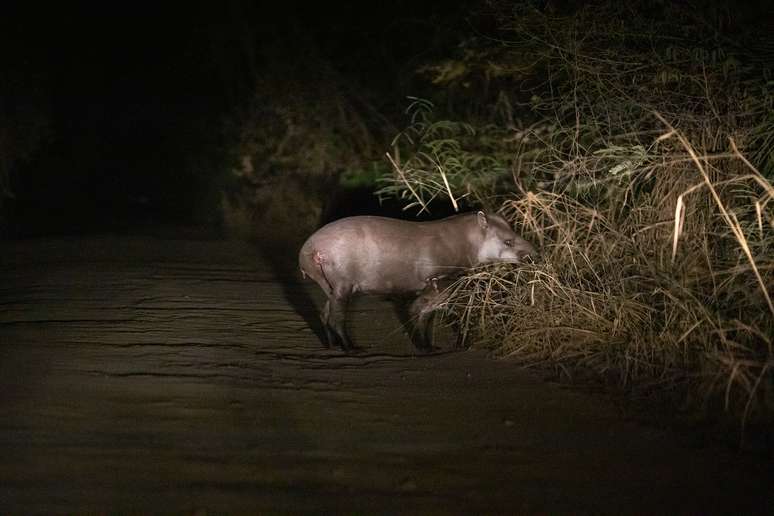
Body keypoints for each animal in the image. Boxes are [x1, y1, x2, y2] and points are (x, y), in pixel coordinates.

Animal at [300, 210, 536, 350]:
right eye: (508, 242)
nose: (532, 254)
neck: (468, 240)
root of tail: (309, 250)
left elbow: (424, 313)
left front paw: (429, 346)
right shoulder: (436, 277)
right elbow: (424, 310)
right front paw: (436, 345)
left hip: (330, 282)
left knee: (325, 311)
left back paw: (331, 345)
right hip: (343, 279)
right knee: (337, 315)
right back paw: (351, 347)